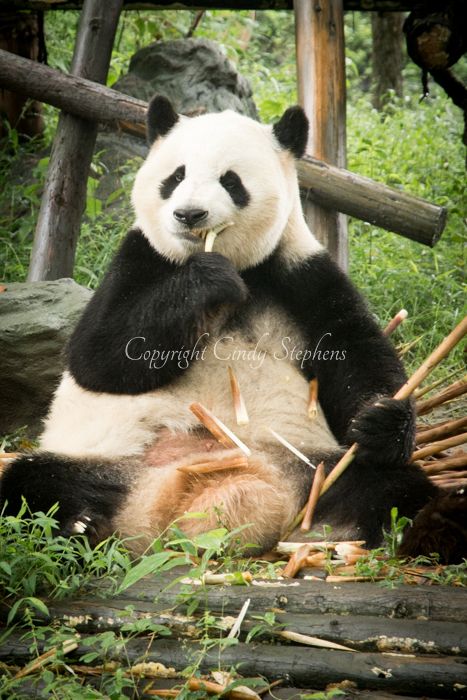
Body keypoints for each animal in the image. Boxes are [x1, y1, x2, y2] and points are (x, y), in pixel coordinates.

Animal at [0, 95, 460, 559]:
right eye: (176, 176)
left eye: (230, 180)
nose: (189, 215)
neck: (237, 266)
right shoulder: (141, 257)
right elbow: (100, 355)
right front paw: (207, 281)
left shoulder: (299, 271)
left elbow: (356, 352)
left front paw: (380, 421)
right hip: (109, 461)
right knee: (33, 482)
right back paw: (79, 525)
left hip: (309, 464)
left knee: (385, 485)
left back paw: (432, 522)